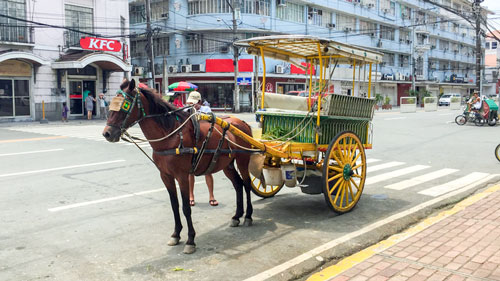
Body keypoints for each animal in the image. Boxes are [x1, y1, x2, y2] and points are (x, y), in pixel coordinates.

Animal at [103, 77, 256, 253]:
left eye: (125, 105)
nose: (107, 133)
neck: (171, 135)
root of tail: (242, 122)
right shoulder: (166, 176)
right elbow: (174, 205)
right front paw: (176, 234)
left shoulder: (182, 176)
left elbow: (186, 207)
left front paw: (190, 240)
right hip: (227, 164)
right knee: (238, 185)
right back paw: (237, 216)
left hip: (243, 159)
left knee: (246, 184)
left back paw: (248, 216)